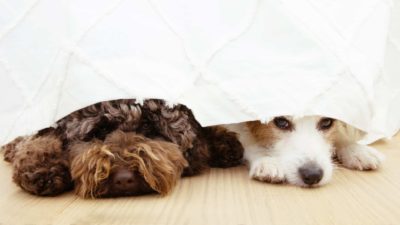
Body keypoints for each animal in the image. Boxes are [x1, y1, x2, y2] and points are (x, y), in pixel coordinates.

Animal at [1, 99, 242, 198]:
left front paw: (223, 143)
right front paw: (41, 167)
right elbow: (40, 142)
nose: (124, 179)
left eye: (147, 127)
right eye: (99, 131)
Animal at [225, 117, 384, 187]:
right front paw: (267, 160)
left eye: (327, 122)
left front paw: (355, 149)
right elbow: (249, 140)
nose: (313, 175)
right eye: (281, 121)